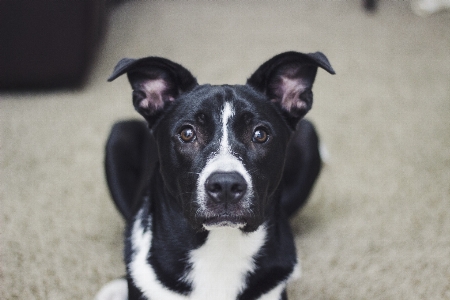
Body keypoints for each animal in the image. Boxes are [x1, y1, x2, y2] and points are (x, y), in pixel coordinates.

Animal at [98, 52, 336, 300]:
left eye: (260, 134)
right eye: (187, 133)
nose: (225, 185)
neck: (221, 247)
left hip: (309, 137)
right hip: (118, 136)